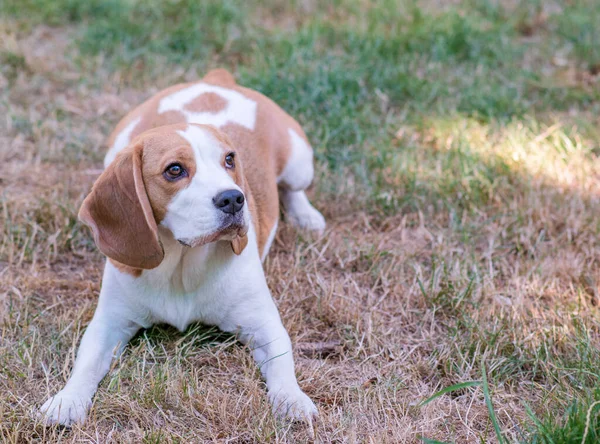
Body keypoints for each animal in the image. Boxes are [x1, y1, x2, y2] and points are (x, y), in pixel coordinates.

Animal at [39, 69, 326, 426]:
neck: (181, 262)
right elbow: (86, 363)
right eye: (174, 170)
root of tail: (214, 79)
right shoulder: (108, 323)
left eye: (229, 160)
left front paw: (292, 399)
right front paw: (67, 399)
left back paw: (306, 216)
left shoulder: (264, 324)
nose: (234, 199)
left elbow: (283, 363)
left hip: (300, 164)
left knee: (293, 189)